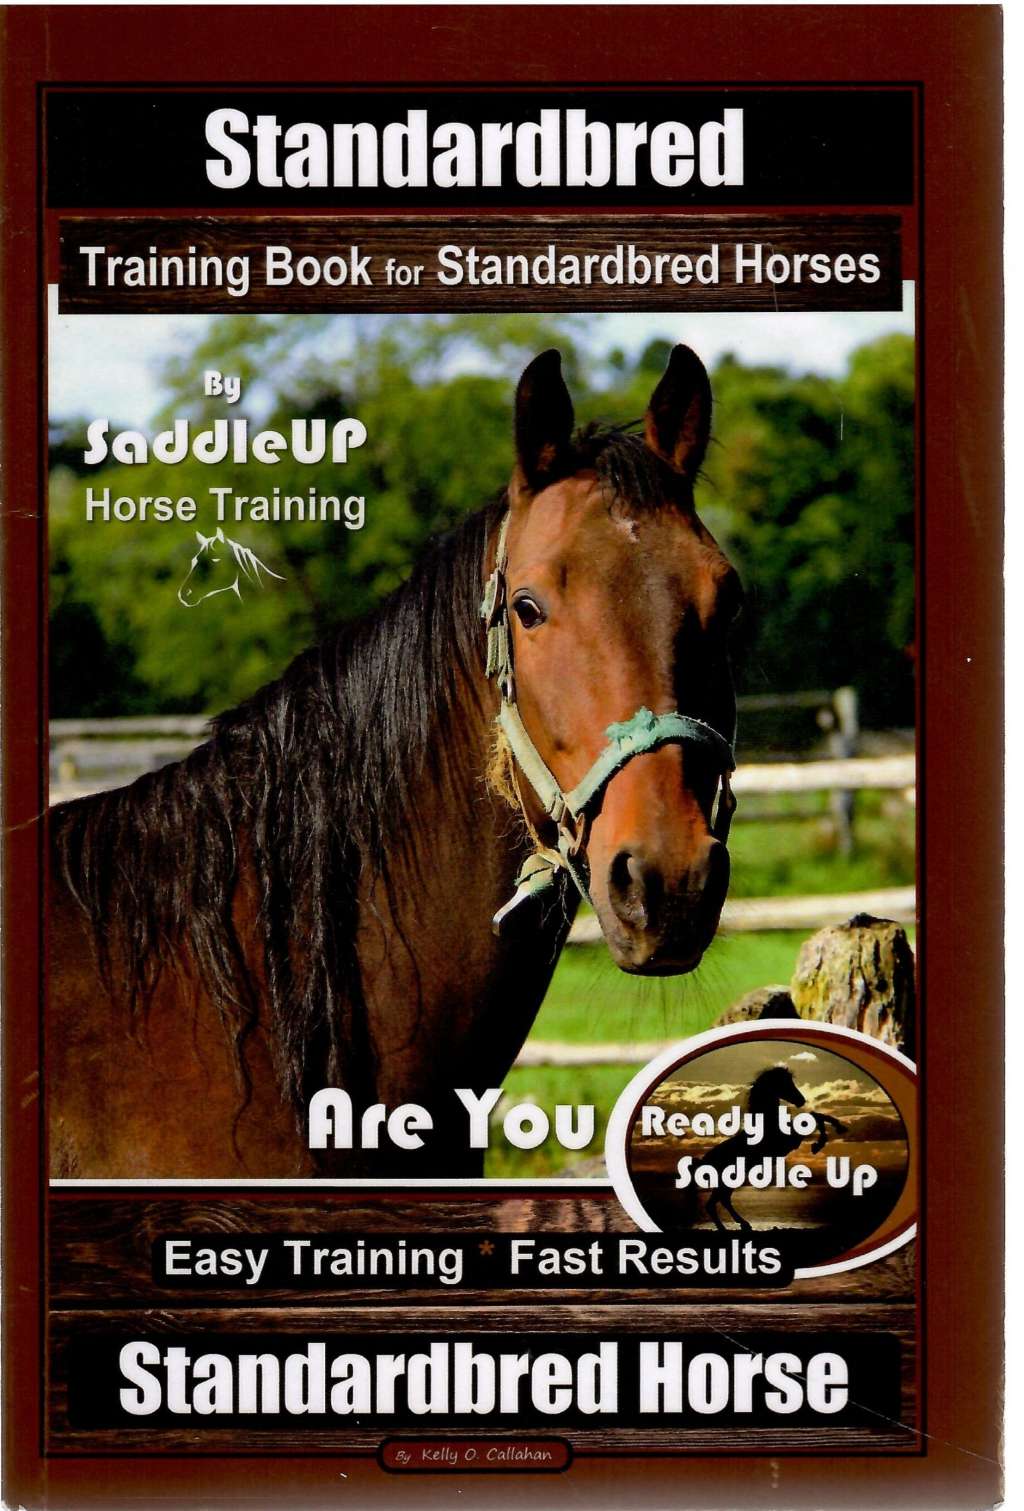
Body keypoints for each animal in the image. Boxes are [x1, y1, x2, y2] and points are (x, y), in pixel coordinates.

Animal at [695, 1066, 848, 1232]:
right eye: (784, 1083)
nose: (801, 1100)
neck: (767, 1123)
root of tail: (704, 1161)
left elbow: (816, 1116)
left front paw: (838, 1128)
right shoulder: (790, 1140)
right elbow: (814, 1118)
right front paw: (819, 1143)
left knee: (723, 1200)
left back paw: (743, 1224)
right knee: (714, 1203)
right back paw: (729, 1227)